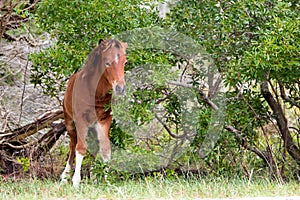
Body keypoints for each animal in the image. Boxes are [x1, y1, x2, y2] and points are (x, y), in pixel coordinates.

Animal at [60, 38, 127, 188]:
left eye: (125, 62)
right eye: (107, 62)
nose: (120, 88)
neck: (95, 94)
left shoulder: (104, 121)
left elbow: (106, 149)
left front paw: (107, 181)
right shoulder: (81, 121)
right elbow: (80, 148)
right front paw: (76, 182)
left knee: (95, 148)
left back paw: (95, 177)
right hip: (70, 123)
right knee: (72, 146)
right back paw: (64, 177)